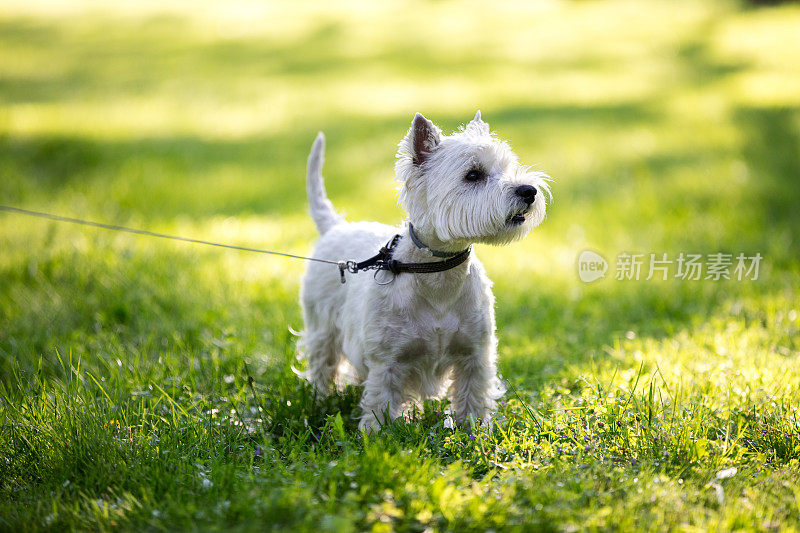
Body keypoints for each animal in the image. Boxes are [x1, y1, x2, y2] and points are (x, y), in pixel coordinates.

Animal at [296, 110, 548, 430]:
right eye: (473, 174)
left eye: (507, 166)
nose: (529, 191)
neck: (438, 274)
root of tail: (335, 226)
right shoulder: (387, 360)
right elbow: (380, 401)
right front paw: (375, 435)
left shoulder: (475, 353)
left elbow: (473, 396)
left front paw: (475, 431)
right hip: (322, 325)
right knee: (322, 364)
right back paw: (320, 399)